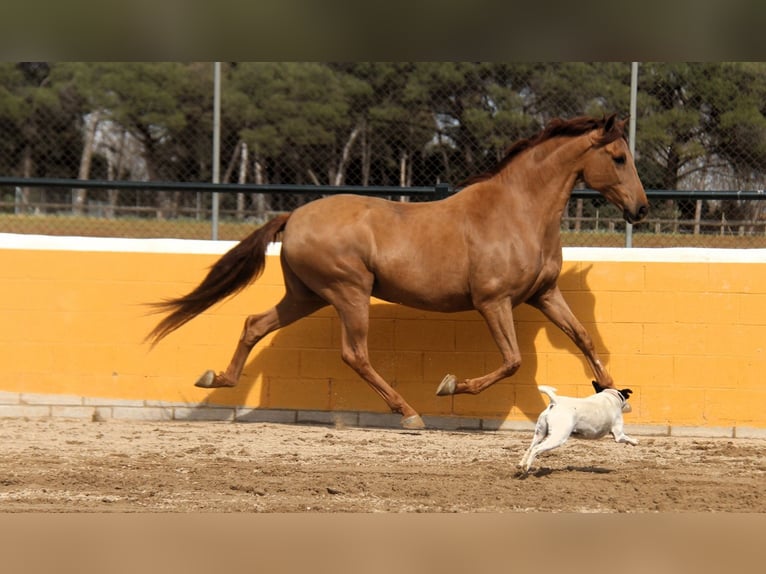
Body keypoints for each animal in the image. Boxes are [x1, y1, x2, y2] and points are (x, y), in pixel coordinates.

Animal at [147, 114, 648, 430]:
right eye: (619, 158)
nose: (641, 209)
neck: (517, 211)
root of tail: (294, 216)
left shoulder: (544, 294)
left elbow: (583, 338)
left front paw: (611, 393)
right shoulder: (493, 301)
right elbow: (512, 361)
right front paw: (450, 385)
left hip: (305, 295)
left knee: (255, 323)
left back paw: (217, 379)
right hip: (349, 291)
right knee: (355, 354)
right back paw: (409, 413)